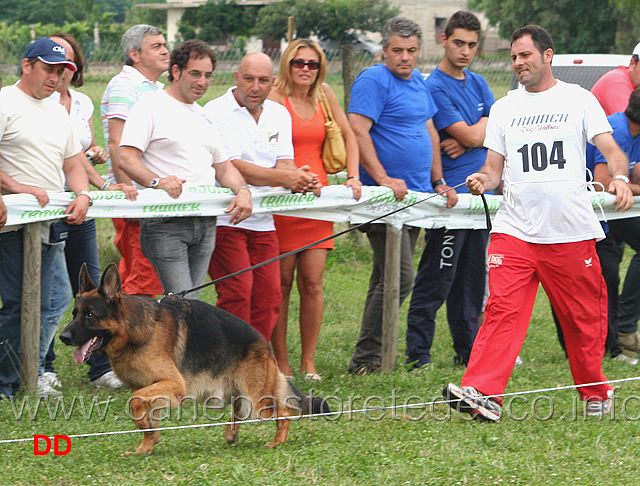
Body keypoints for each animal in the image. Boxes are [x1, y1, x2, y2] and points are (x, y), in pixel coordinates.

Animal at [59, 264, 328, 454]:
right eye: (74, 313)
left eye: (90, 315)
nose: (62, 336)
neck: (134, 331)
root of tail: (265, 344)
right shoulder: (156, 389)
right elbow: (147, 417)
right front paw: (146, 445)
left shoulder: (172, 385)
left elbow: (135, 402)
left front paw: (144, 430)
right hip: (236, 394)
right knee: (240, 409)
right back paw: (232, 434)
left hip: (257, 400)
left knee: (284, 411)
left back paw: (277, 442)